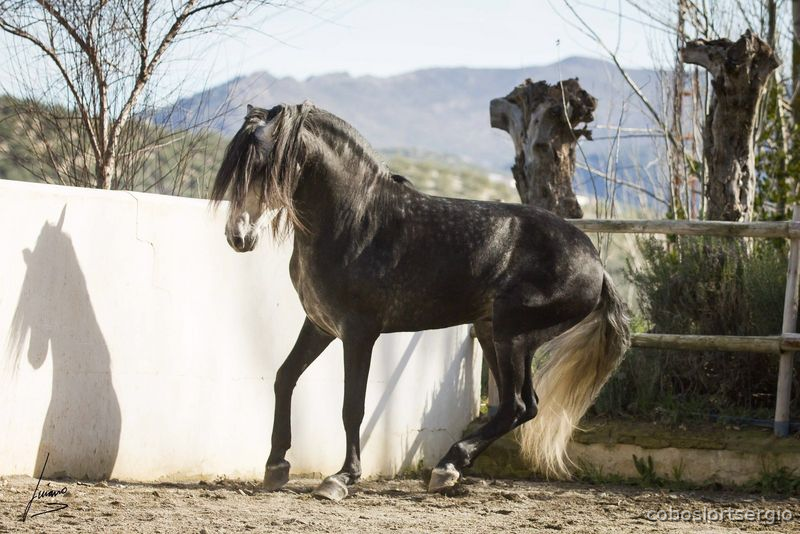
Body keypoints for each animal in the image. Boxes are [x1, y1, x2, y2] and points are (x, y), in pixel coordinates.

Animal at [210, 102, 630, 500]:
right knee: (525, 406)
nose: (238, 236)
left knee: (515, 406)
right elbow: (285, 377)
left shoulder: (359, 332)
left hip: (511, 333)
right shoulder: (320, 325)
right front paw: (276, 466)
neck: (355, 222)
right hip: (494, 333)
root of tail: (596, 265)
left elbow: (352, 405)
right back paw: (449, 470)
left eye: (263, 165)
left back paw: (445, 467)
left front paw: (341, 479)